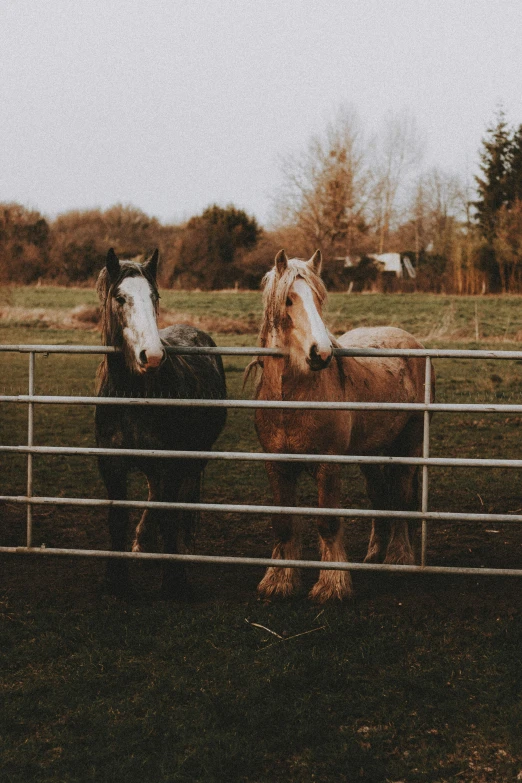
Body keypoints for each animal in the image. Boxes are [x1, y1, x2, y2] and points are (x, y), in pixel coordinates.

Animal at [95, 251, 225, 600]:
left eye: (155, 296)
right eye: (119, 297)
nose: (151, 356)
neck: (134, 396)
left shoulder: (170, 463)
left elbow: (169, 515)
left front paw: (174, 582)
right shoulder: (111, 466)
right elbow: (117, 519)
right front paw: (116, 580)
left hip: (193, 458)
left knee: (178, 502)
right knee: (155, 495)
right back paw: (144, 542)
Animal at [252, 248, 430, 604]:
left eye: (320, 299)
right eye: (289, 300)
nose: (320, 354)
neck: (292, 399)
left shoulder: (328, 465)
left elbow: (328, 522)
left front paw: (332, 584)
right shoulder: (276, 465)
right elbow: (283, 523)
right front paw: (279, 580)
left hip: (408, 444)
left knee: (400, 498)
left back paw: (398, 557)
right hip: (371, 453)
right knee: (380, 496)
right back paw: (374, 553)